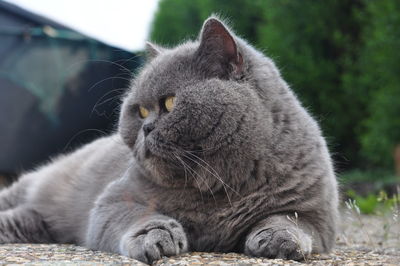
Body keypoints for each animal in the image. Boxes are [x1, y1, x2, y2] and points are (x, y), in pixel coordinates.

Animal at [0, 17, 338, 264]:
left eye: (170, 103)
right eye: (141, 111)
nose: (146, 128)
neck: (218, 186)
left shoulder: (318, 213)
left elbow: (292, 219)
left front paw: (280, 239)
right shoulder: (113, 199)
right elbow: (139, 215)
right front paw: (155, 237)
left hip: (35, 221)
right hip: (32, 186)